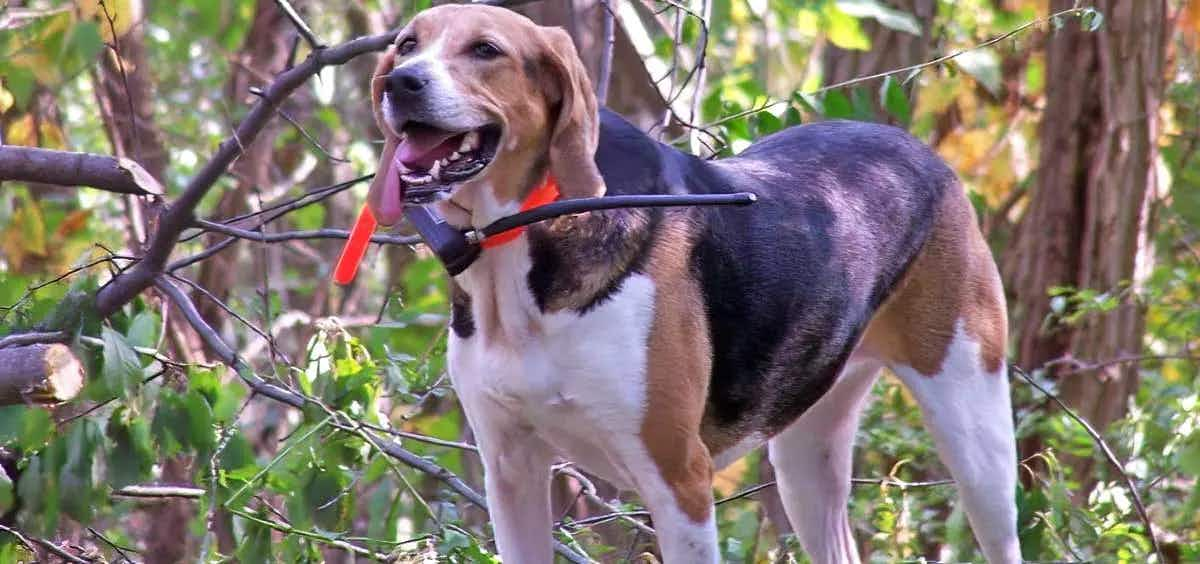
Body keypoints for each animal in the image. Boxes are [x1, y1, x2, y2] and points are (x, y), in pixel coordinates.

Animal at [367, 5, 1022, 564]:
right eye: (407, 45)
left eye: (486, 49)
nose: (400, 83)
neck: (516, 243)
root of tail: (916, 149)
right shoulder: (511, 472)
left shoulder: (678, 481)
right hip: (806, 454)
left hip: (975, 429)